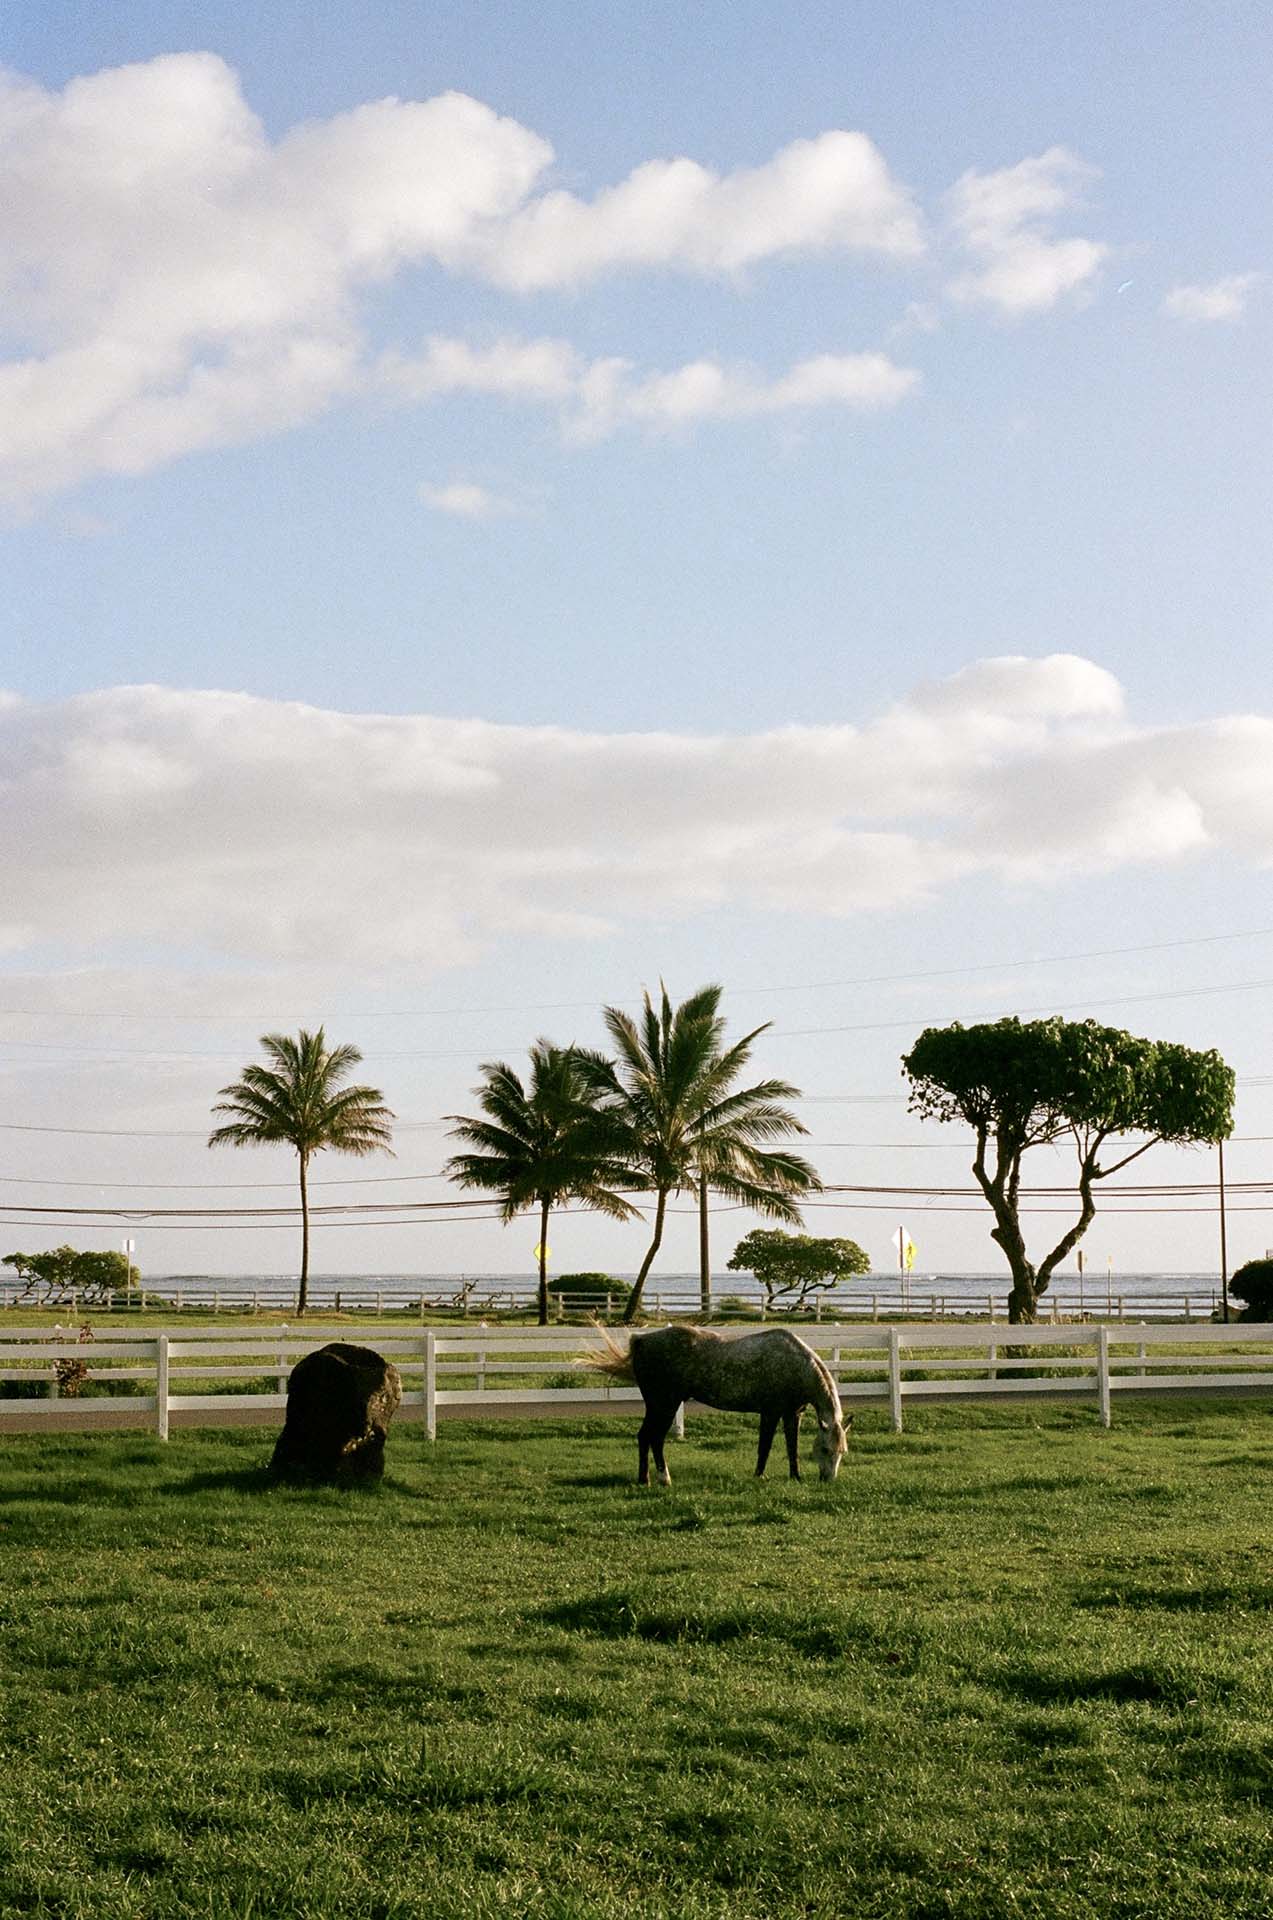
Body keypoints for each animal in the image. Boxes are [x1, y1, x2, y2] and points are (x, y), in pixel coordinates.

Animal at [591, 1328, 852, 1489]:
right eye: (825, 1449)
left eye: (842, 1451)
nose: (828, 1480)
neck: (794, 1363)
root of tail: (641, 1340)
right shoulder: (770, 1413)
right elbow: (764, 1448)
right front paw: (759, 1475)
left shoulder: (792, 1413)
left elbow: (792, 1448)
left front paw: (795, 1477)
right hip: (664, 1406)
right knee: (653, 1438)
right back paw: (662, 1479)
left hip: (658, 1407)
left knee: (645, 1437)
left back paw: (645, 1478)